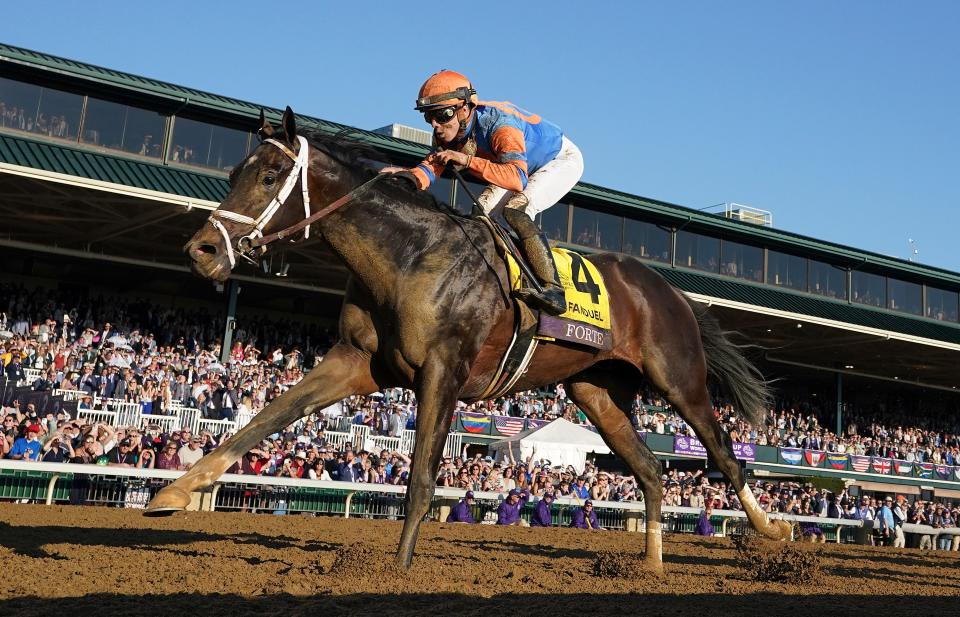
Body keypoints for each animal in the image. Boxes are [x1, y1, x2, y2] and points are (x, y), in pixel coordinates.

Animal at [142, 108, 788, 572]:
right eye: (235, 174)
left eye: (271, 176)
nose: (201, 250)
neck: (409, 256)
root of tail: (673, 292)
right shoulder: (359, 361)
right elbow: (267, 416)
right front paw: (175, 492)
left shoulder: (443, 372)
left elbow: (422, 477)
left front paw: (398, 569)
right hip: (597, 393)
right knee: (652, 471)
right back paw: (650, 567)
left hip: (679, 381)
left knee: (725, 455)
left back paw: (772, 531)